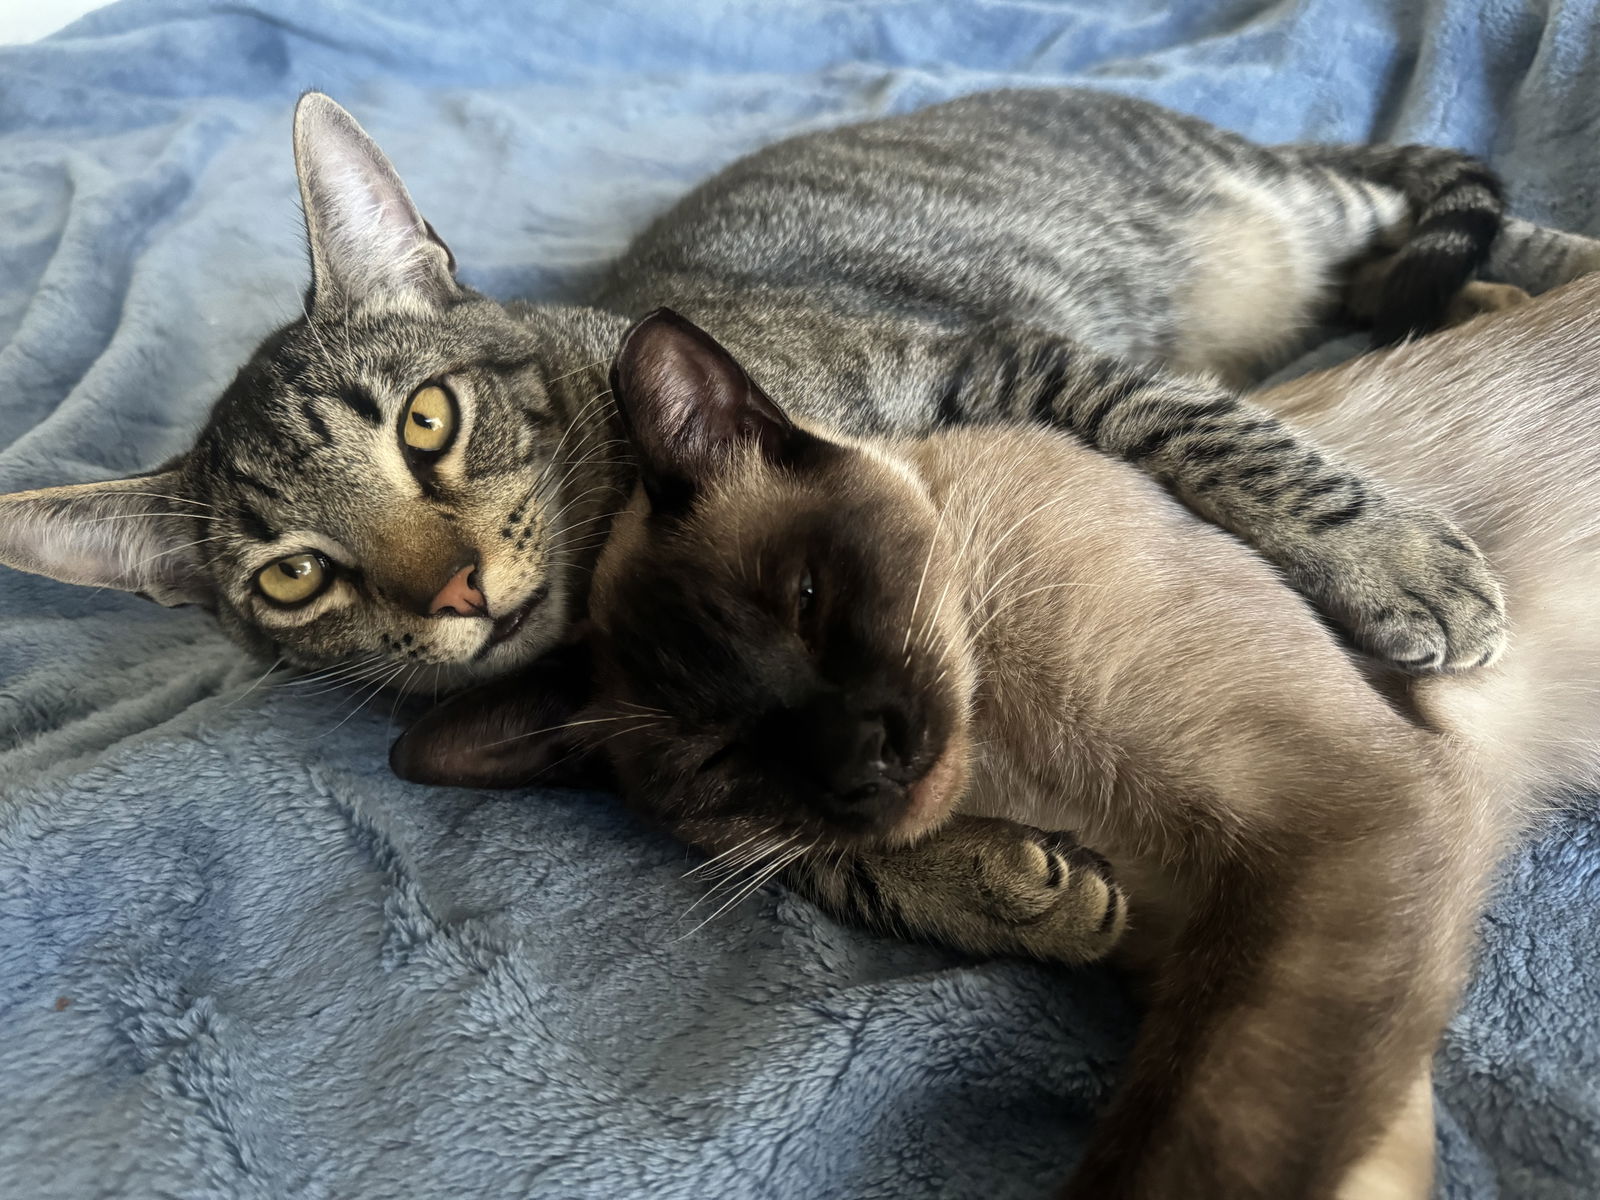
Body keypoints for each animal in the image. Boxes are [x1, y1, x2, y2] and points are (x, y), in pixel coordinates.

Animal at [12, 89, 1600, 691]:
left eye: (425, 423)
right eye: (293, 579)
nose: (455, 590)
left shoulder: (998, 354)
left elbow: (1208, 430)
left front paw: (1385, 555)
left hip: (1289, 199)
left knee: (1450, 214)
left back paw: (1553, 271)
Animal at [393, 284, 1600, 1200]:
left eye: (807, 602)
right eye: (713, 762)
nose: (859, 761)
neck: (1024, 772)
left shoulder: (1350, 834)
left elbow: (1185, 1156)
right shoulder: (1291, 957)